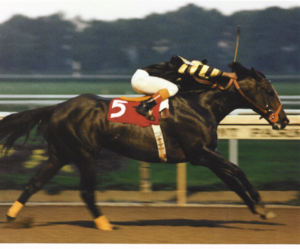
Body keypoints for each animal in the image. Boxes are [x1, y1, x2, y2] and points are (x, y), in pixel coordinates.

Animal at [0, 61, 290, 230]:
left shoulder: (207, 154)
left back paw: (13, 217)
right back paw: (105, 225)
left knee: (34, 183)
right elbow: (237, 171)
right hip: (85, 153)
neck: (201, 105)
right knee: (86, 192)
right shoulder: (199, 153)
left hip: (60, 154)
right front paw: (263, 206)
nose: (285, 120)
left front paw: (259, 210)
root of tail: (56, 107)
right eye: (268, 90)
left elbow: (232, 180)